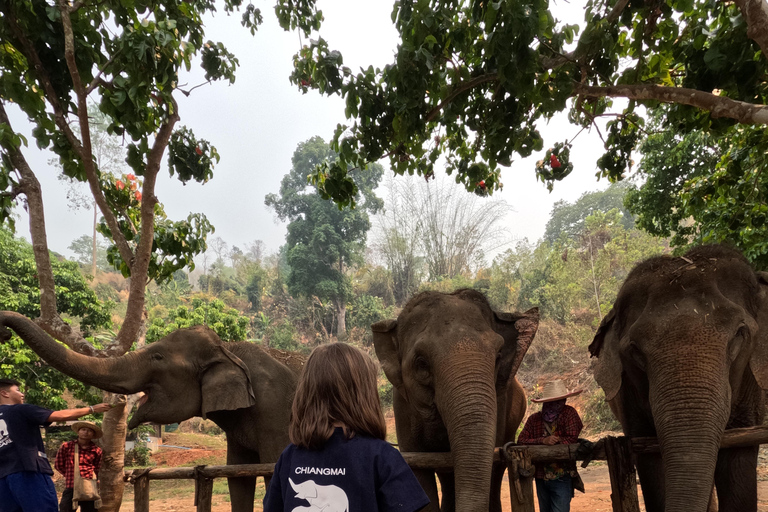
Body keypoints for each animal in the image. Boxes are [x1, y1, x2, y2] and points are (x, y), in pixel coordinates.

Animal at [0, 310, 304, 512]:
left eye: (157, 357)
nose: (4, 330)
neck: (228, 349)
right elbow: (238, 475)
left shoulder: (274, 409)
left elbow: (273, 471)